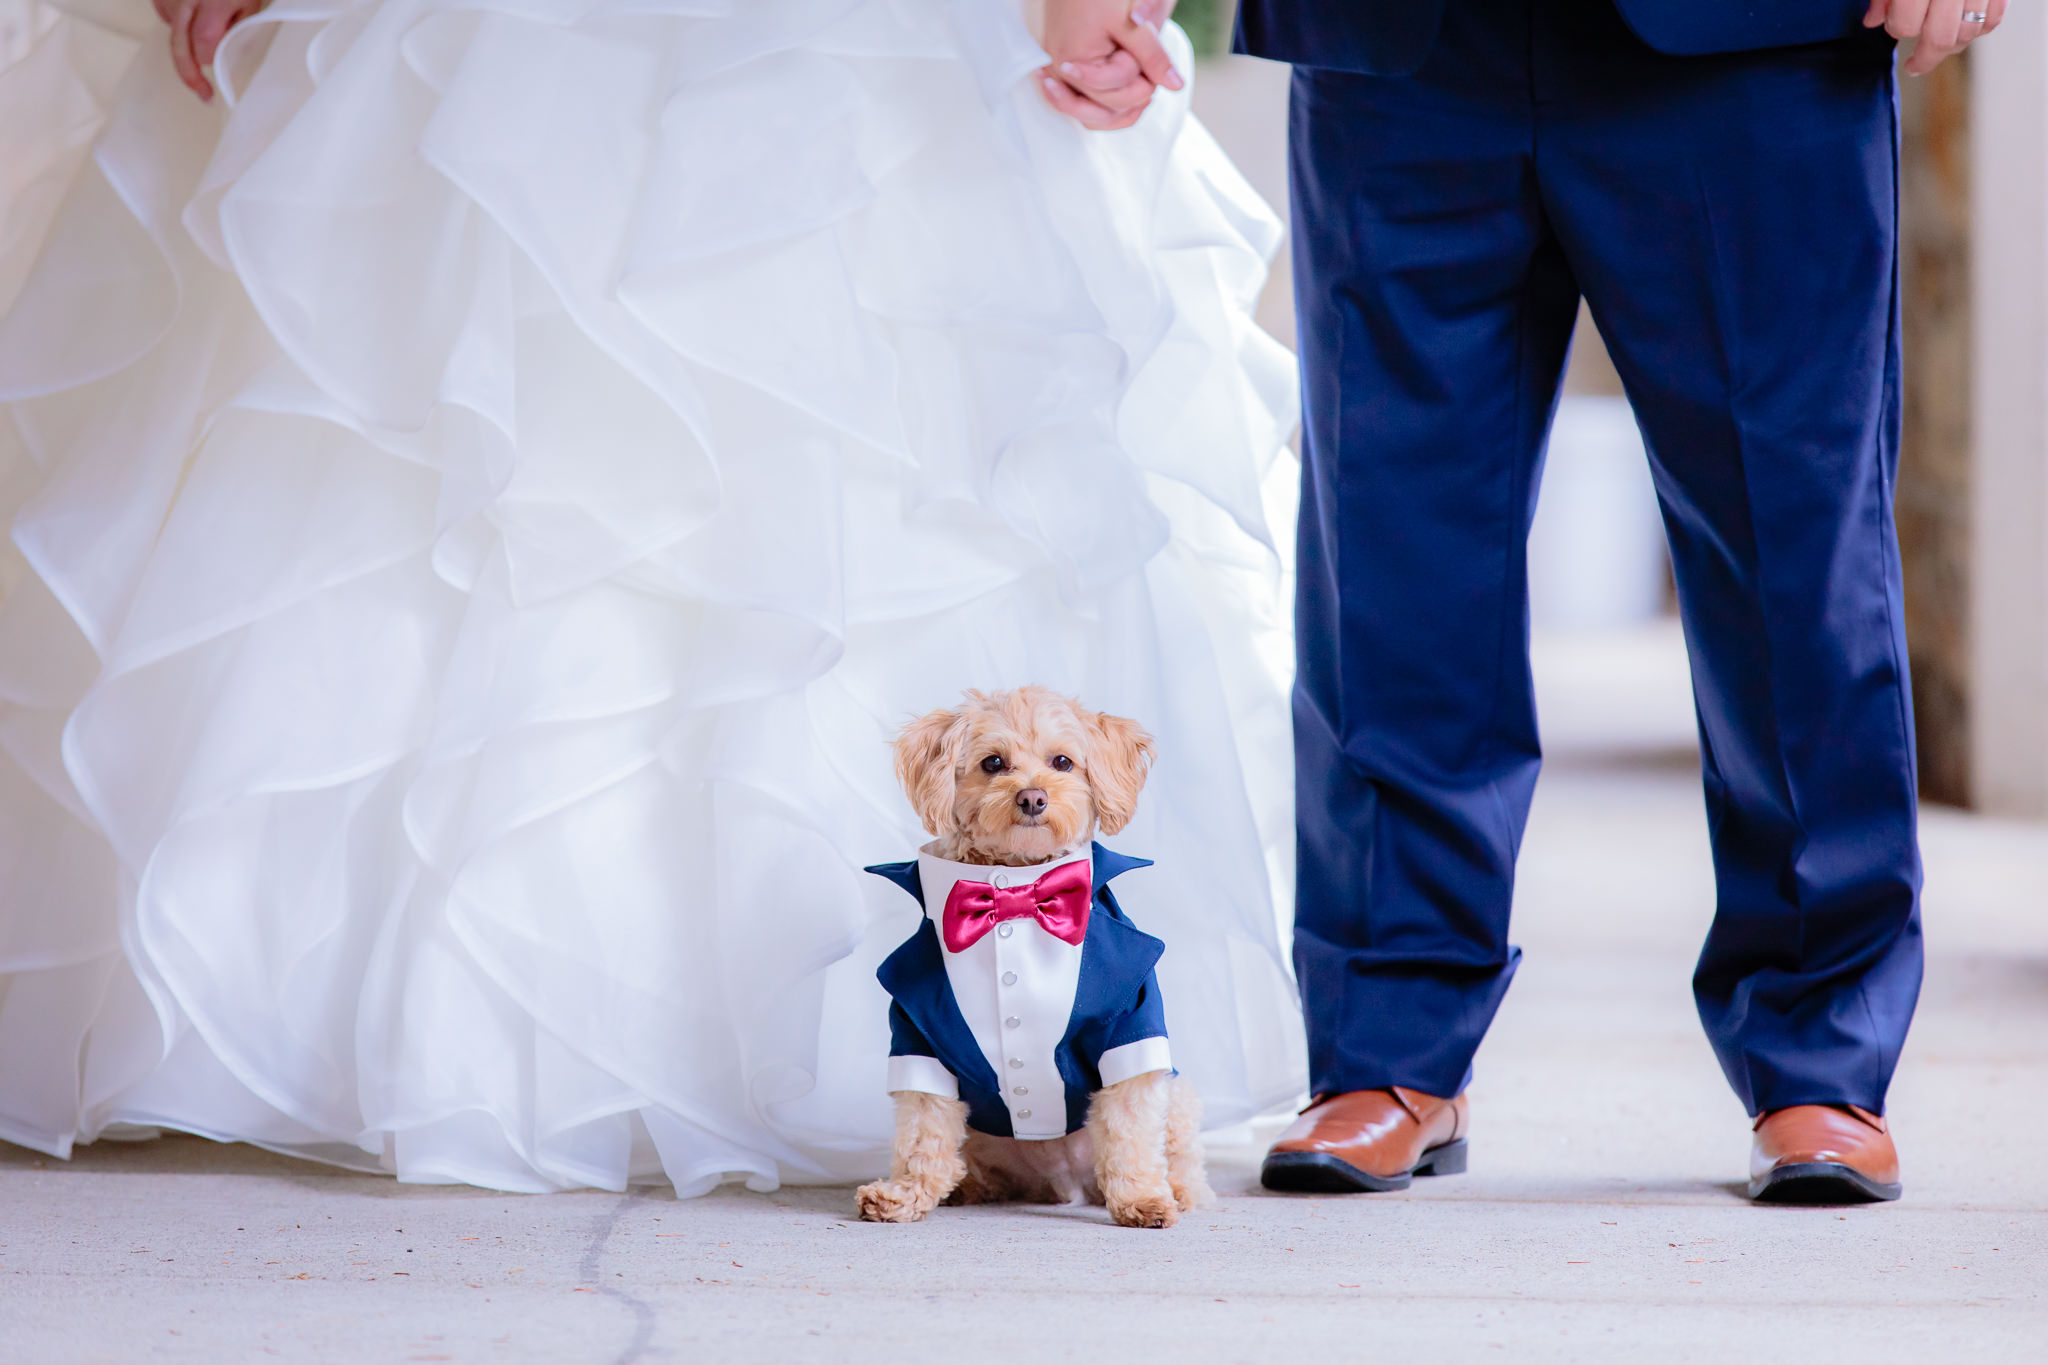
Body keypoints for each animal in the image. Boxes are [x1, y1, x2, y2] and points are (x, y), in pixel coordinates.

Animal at [851, 687, 1204, 1236]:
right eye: (993, 763)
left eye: (1063, 762)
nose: (1033, 798)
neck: (1015, 892)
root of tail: (1062, 1185)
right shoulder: (919, 1035)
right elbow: (922, 1135)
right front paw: (905, 1194)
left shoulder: (1129, 1021)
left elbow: (1128, 1131)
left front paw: (1141, 1198)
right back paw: (967, 1189)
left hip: (1179, 1098)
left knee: (1180, 1159)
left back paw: (1180, 1191)